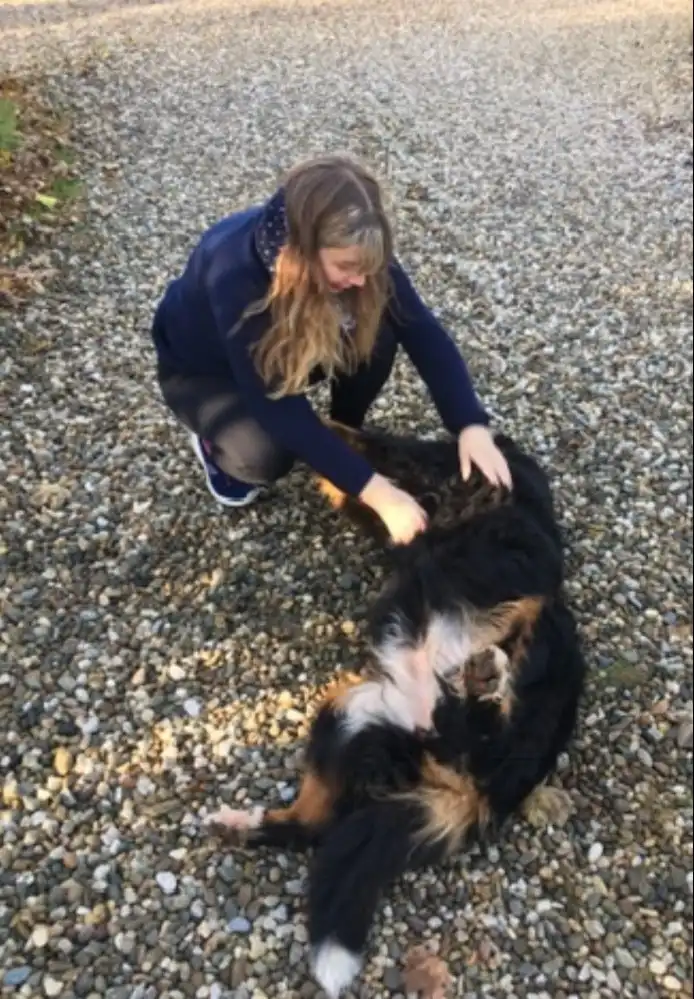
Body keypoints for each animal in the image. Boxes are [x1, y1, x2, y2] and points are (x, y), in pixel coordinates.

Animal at [206, 425, 587, 998]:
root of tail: (487, 790)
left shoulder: (410, 465)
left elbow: (356, 444)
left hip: (552, 638)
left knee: (501, 701)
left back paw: (487, 677)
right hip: (350, 716)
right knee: (309, 828)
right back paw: (241, 824)